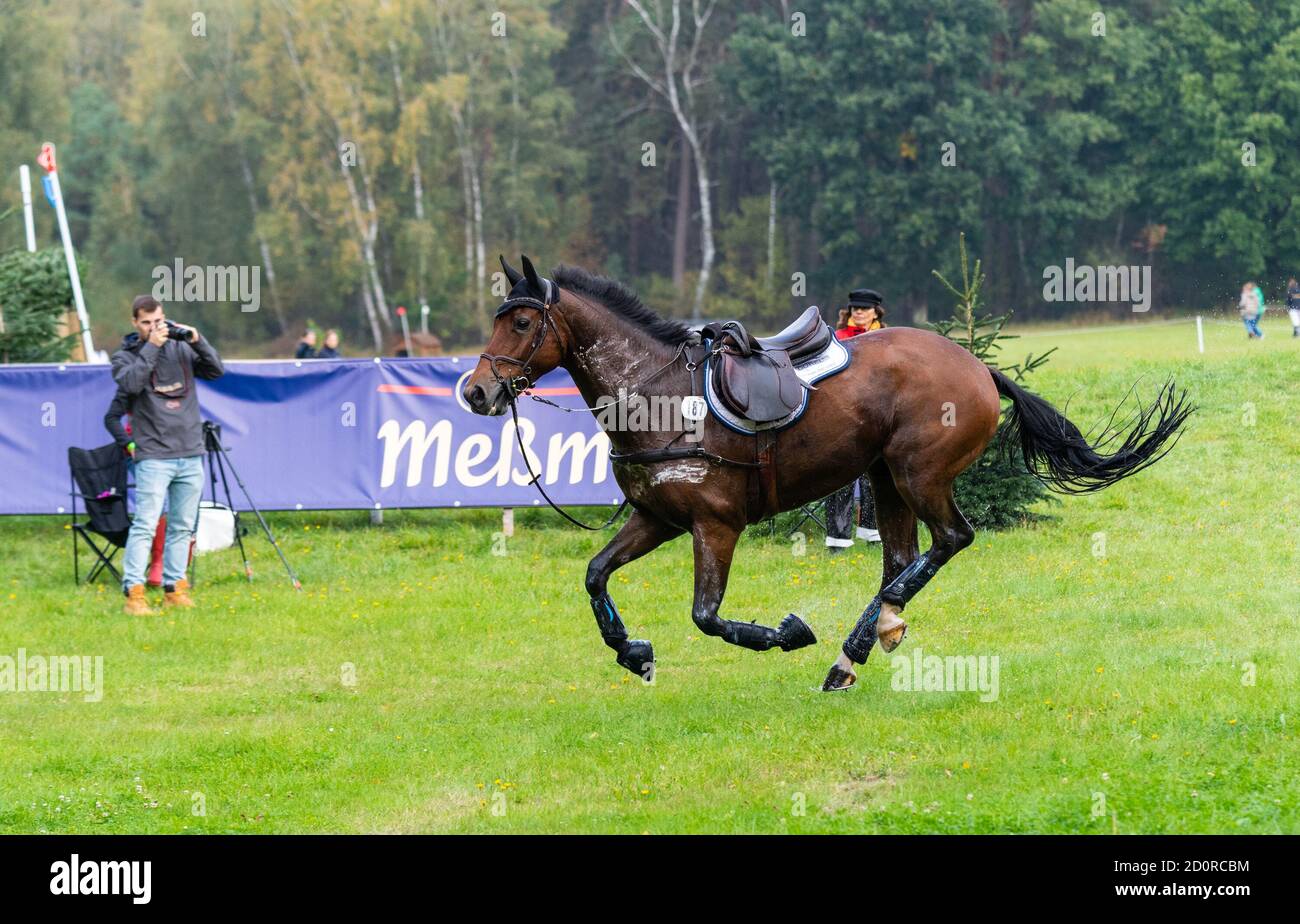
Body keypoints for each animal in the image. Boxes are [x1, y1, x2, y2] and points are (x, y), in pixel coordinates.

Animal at [462, 256, 1190, 691]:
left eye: (521, 321)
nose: (474, 392)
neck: (657, 394)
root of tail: (978, 366)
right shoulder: (658, 519)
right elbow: (595, 576)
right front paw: (633, 651)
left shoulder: (714, 526)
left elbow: (707, 616)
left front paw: (788, 633)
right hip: (887, 480)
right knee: (899, 559)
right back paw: (865, 644)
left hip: (919, 475)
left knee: (948, 541)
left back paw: (855, 644)